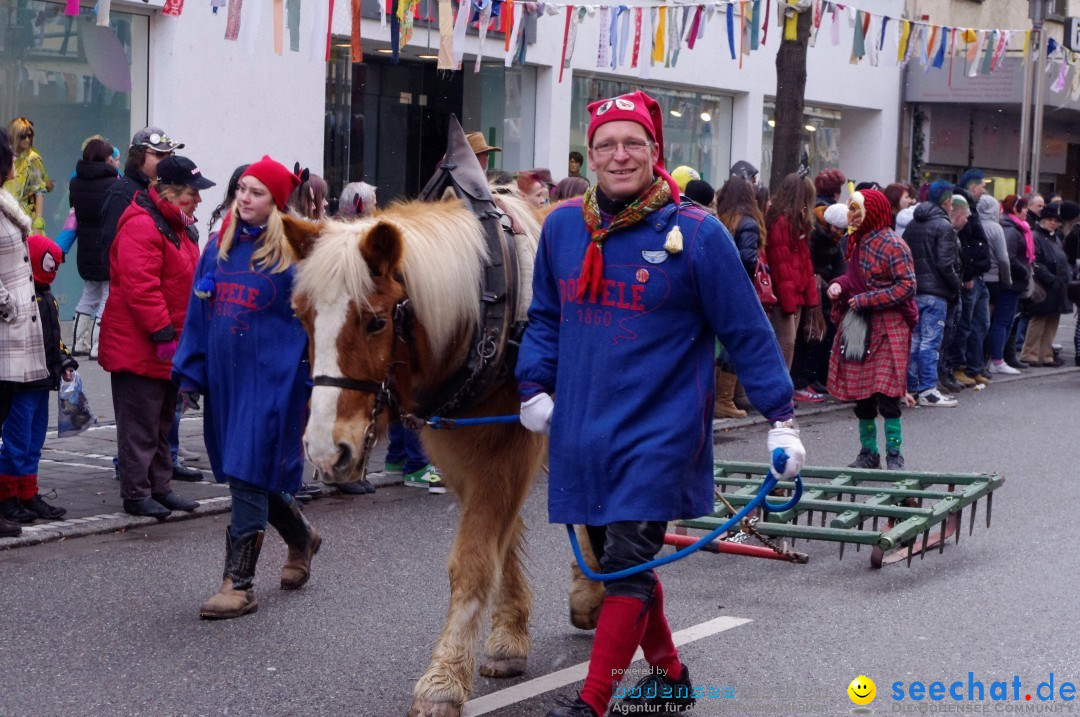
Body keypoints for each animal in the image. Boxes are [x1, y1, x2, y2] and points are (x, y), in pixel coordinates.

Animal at [282, 192, 604, 717]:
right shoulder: (460, 457)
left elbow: (474, 559)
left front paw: (445, 677)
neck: (489, 311)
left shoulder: (510, 451)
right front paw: (508, 636)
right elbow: (501, 543)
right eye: (302, 317)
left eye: (376, 321)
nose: (327, 451)